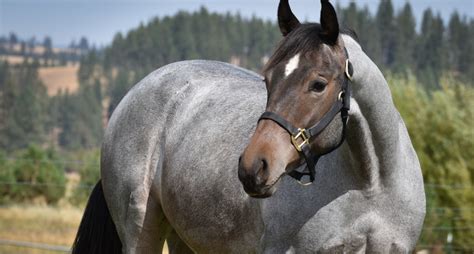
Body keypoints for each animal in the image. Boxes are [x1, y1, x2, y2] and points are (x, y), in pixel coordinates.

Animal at [73, 0, 426, 253]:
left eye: (318, 84)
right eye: (267, 79)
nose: (253, 167)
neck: (370, 183)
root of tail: (131, 97)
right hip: (140, 228)